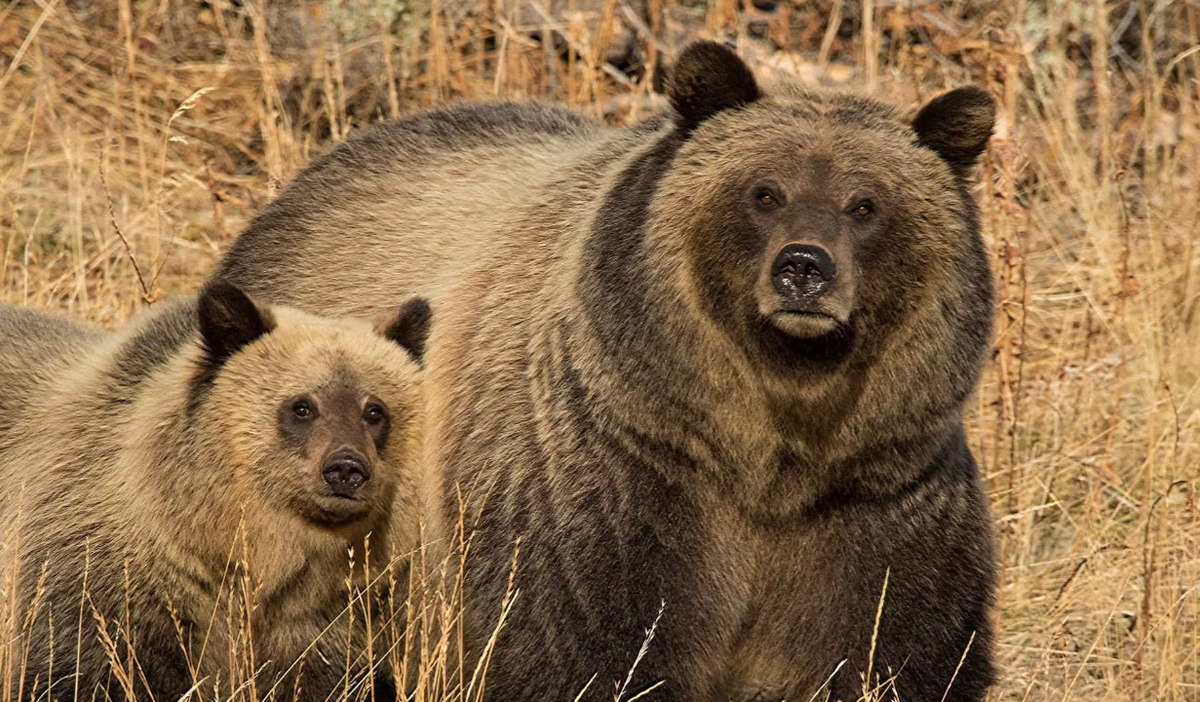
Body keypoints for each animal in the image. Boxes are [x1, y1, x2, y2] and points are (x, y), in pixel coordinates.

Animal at [213, 42, 993, 700]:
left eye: (866, 204)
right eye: (764, 191)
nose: (804, 268)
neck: (767, 454)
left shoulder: (877, 504)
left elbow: (888, 653)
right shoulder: (608, 487)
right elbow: (589, 650)